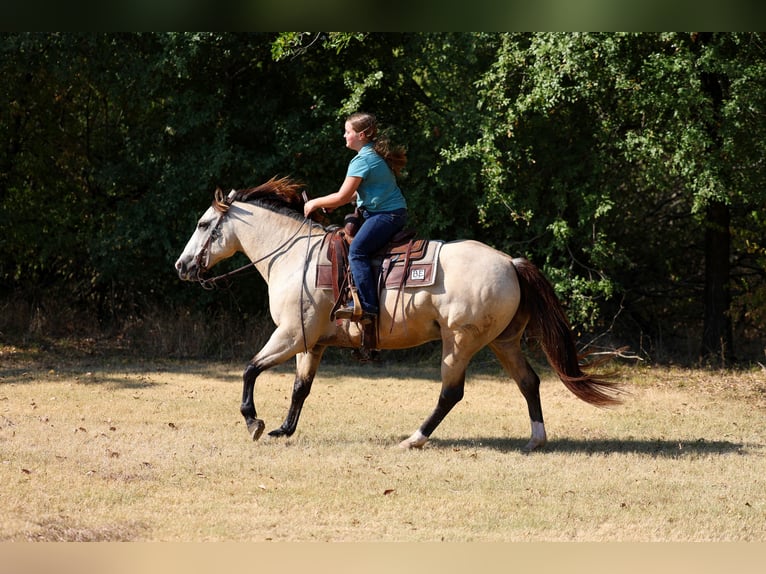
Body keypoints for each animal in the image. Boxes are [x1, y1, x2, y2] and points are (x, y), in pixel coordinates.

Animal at [174, 176, 622, 452]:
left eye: (203, 224)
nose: (182, 266)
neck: (294, 257)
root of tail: (510, 263)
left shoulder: (289, 335)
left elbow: (250, 369)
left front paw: (254, 422)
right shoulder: (311, 342)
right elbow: (301, 387)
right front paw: (284, 428)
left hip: (459, 341)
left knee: (451, 393)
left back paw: (415, 438)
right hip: (503, 341)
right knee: (528, 382)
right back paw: (535, 439)